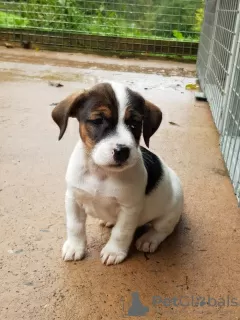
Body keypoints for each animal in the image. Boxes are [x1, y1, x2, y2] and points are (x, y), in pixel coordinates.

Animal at [52, 82, 184, 264]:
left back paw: (149, 239)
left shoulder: (129, 208)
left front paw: (114, 252)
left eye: (135, 123)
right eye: (98, 120)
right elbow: (75, 226)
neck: (101, 172)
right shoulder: (73, 199)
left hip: (169, 214)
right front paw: (74, 247)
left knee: (162, 230)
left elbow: (121, 232)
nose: (122, 151)